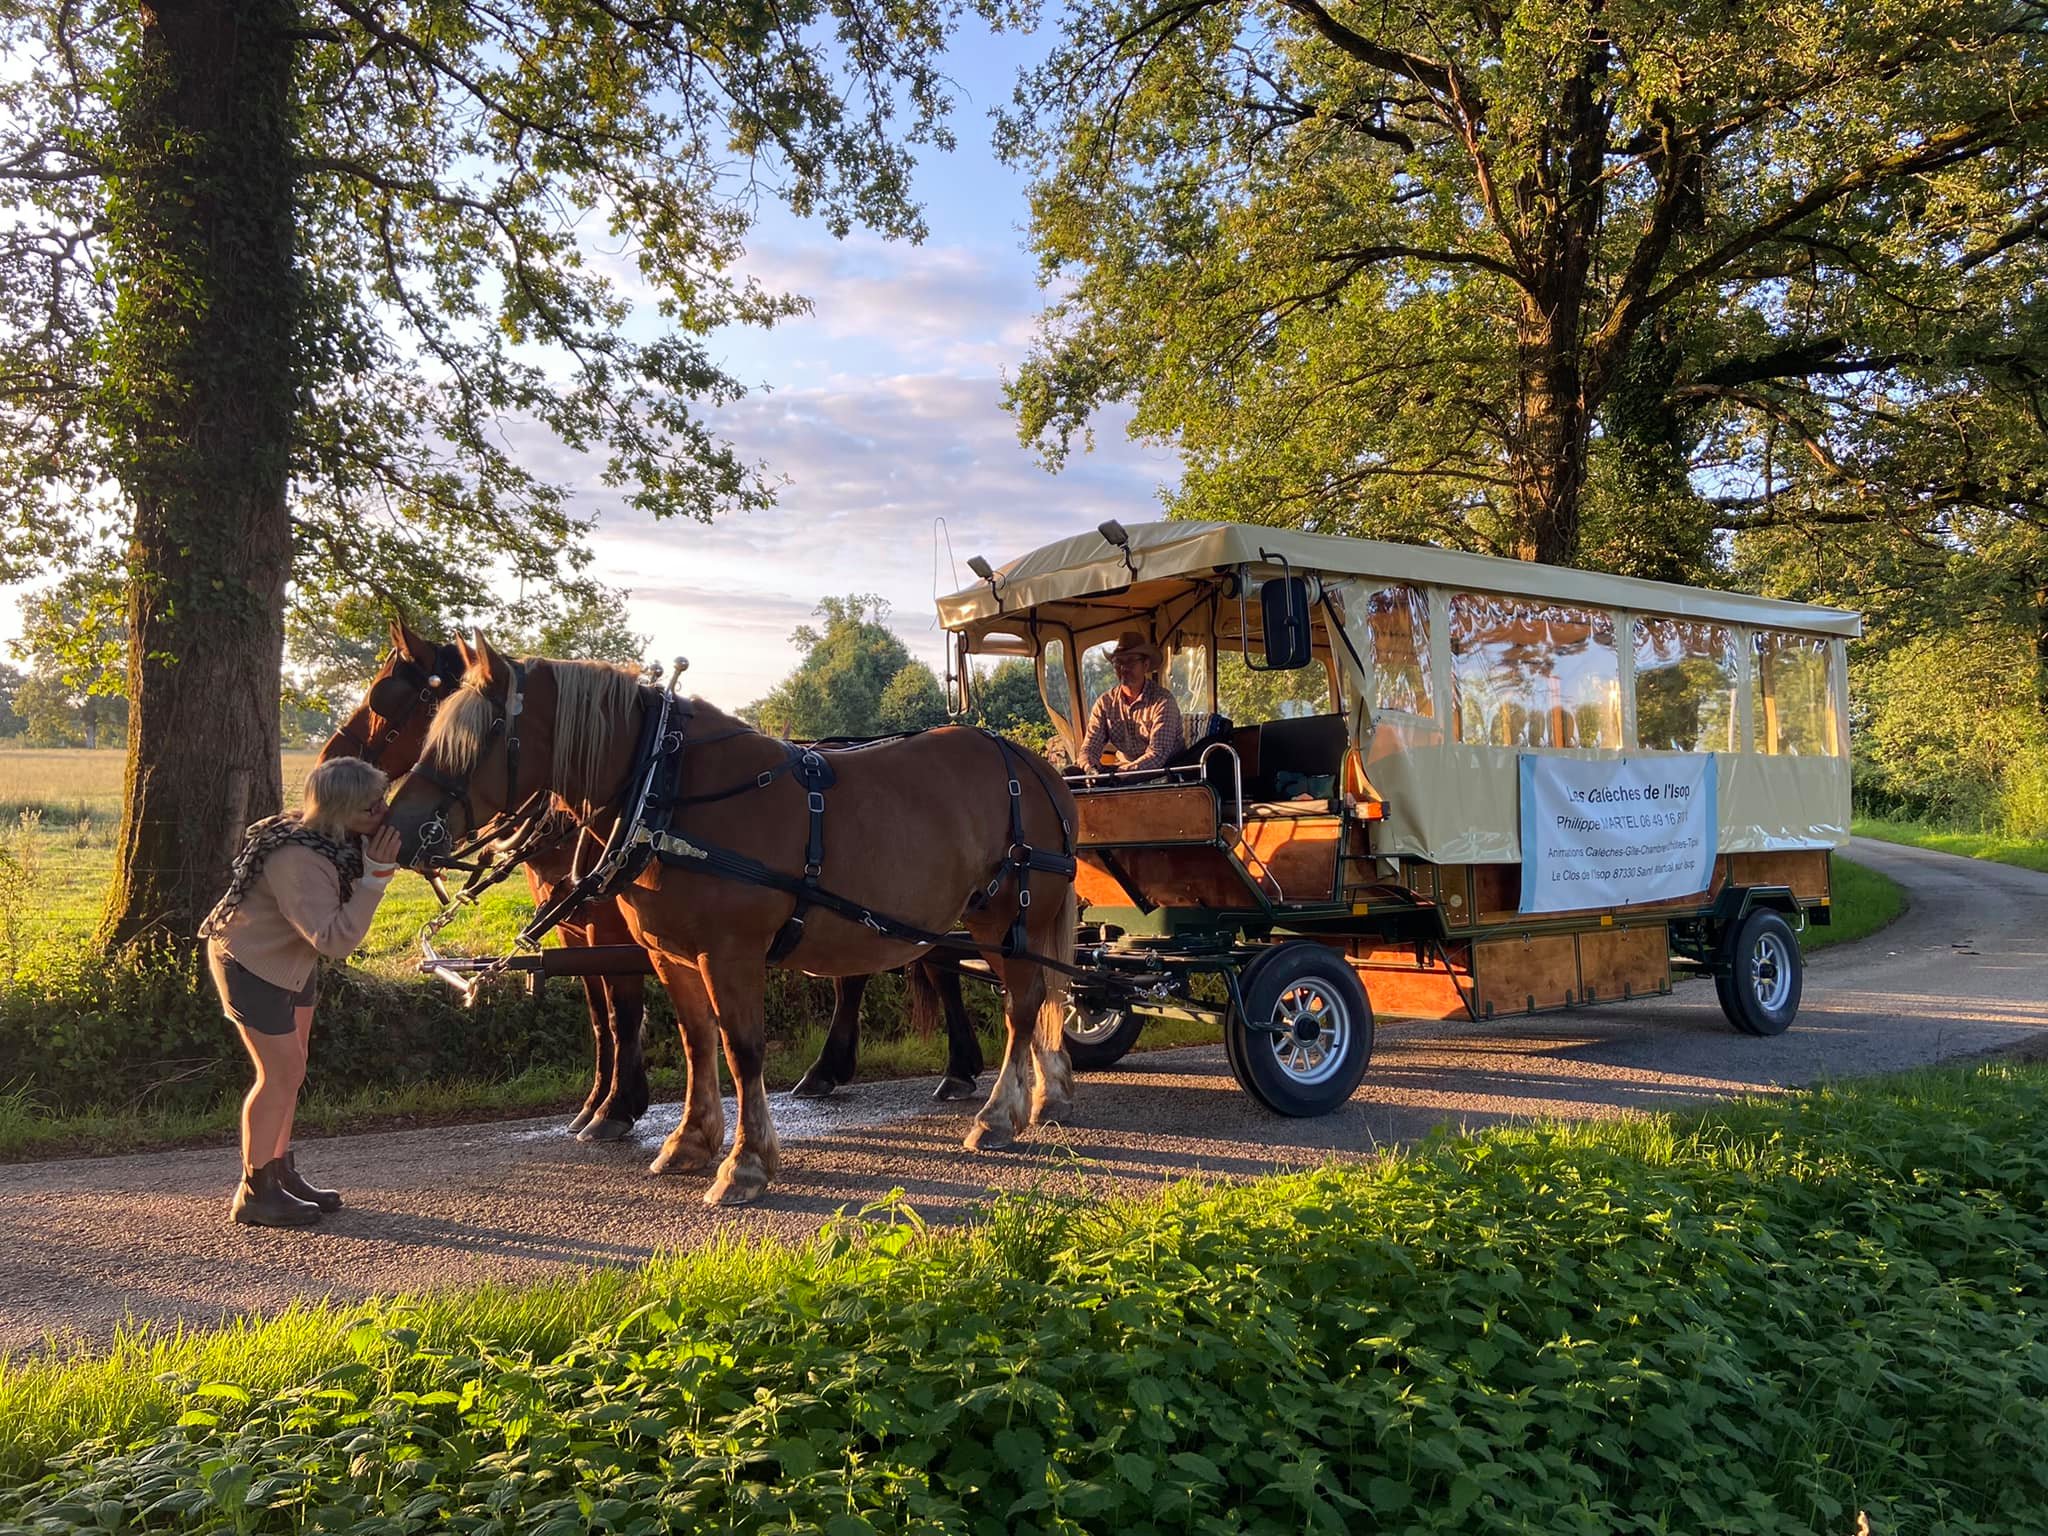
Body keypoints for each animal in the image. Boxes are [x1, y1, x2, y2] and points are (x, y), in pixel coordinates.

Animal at [389, 634, 1081, 1204]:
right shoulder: (669, 952)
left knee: (1023, 1007)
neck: (664, 787)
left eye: (472, 737)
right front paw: (691, 1141)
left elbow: (742, 1047)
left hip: (1004, 920)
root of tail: (1038, 768)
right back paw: (1044, 1095)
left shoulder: (731, 953)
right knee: (1039, 998)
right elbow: (698, 1042)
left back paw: (997, 1115)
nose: (394, 830)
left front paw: (746, 1163)